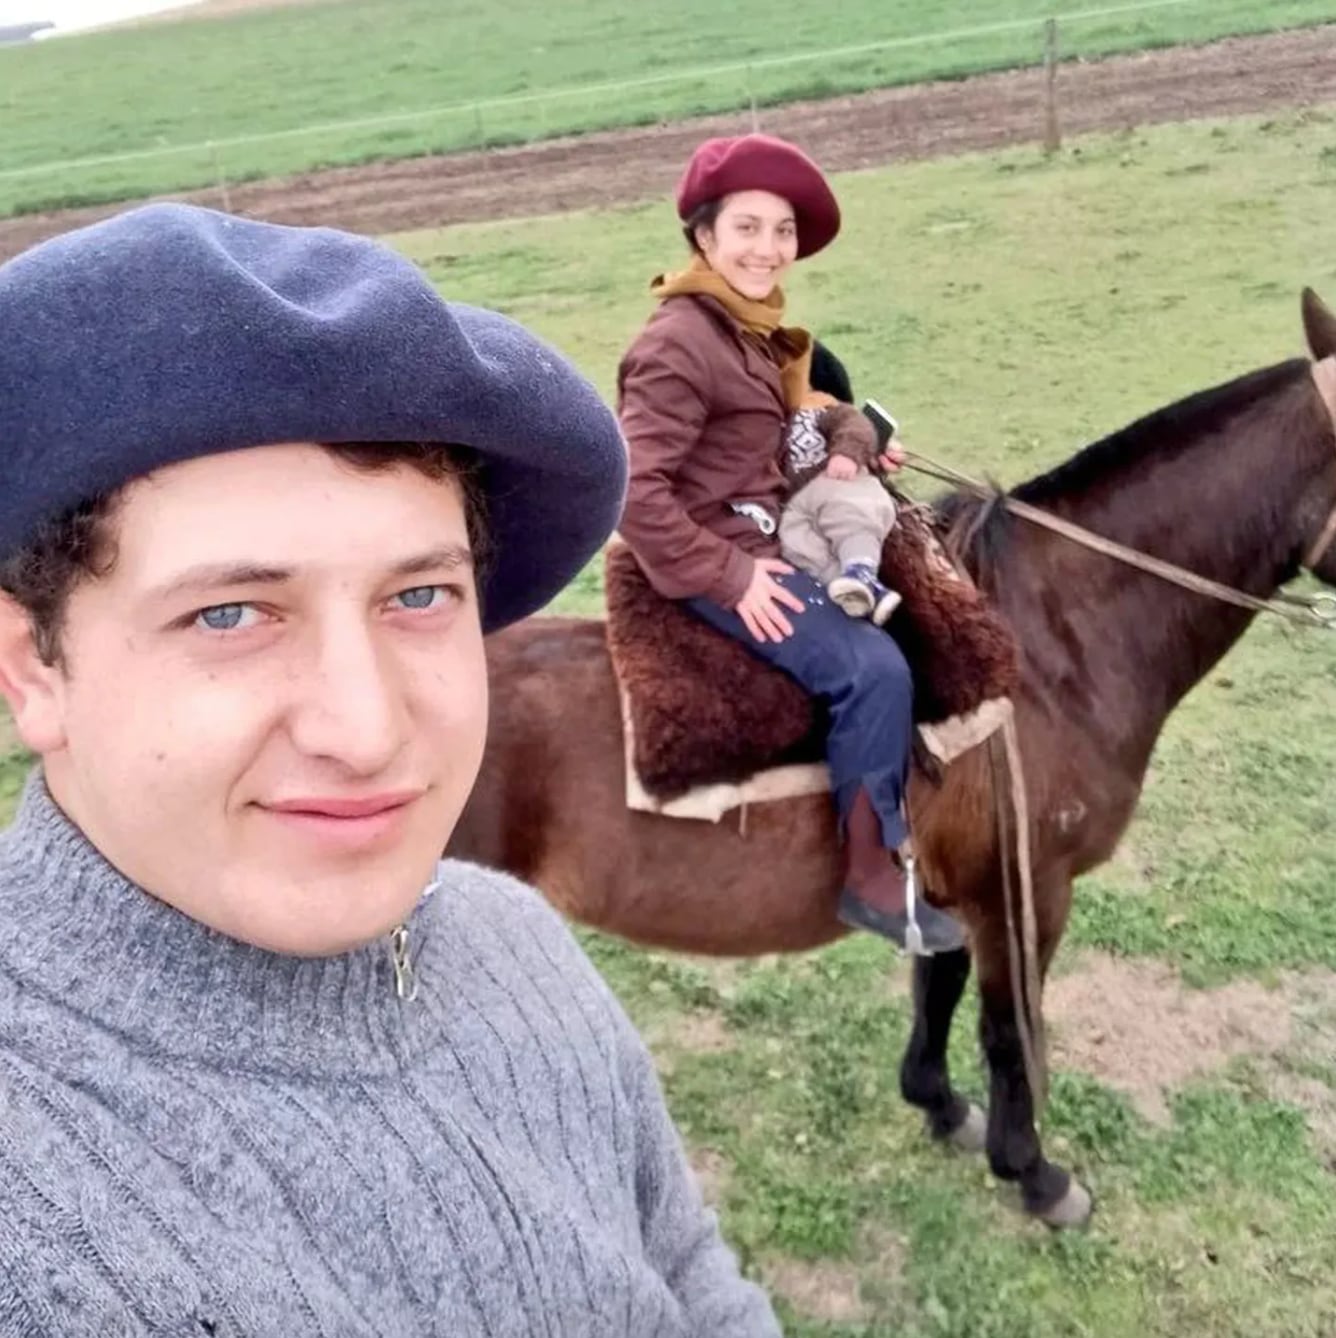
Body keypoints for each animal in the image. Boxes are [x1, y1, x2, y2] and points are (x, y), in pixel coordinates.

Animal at [449, 295, 1336, 1230]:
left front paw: (940, 1105)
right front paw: (1034, 1173)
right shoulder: (1026, 893)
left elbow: (936, 989)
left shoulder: (952, 887)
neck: (1051, 652)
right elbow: (1008, 1031)